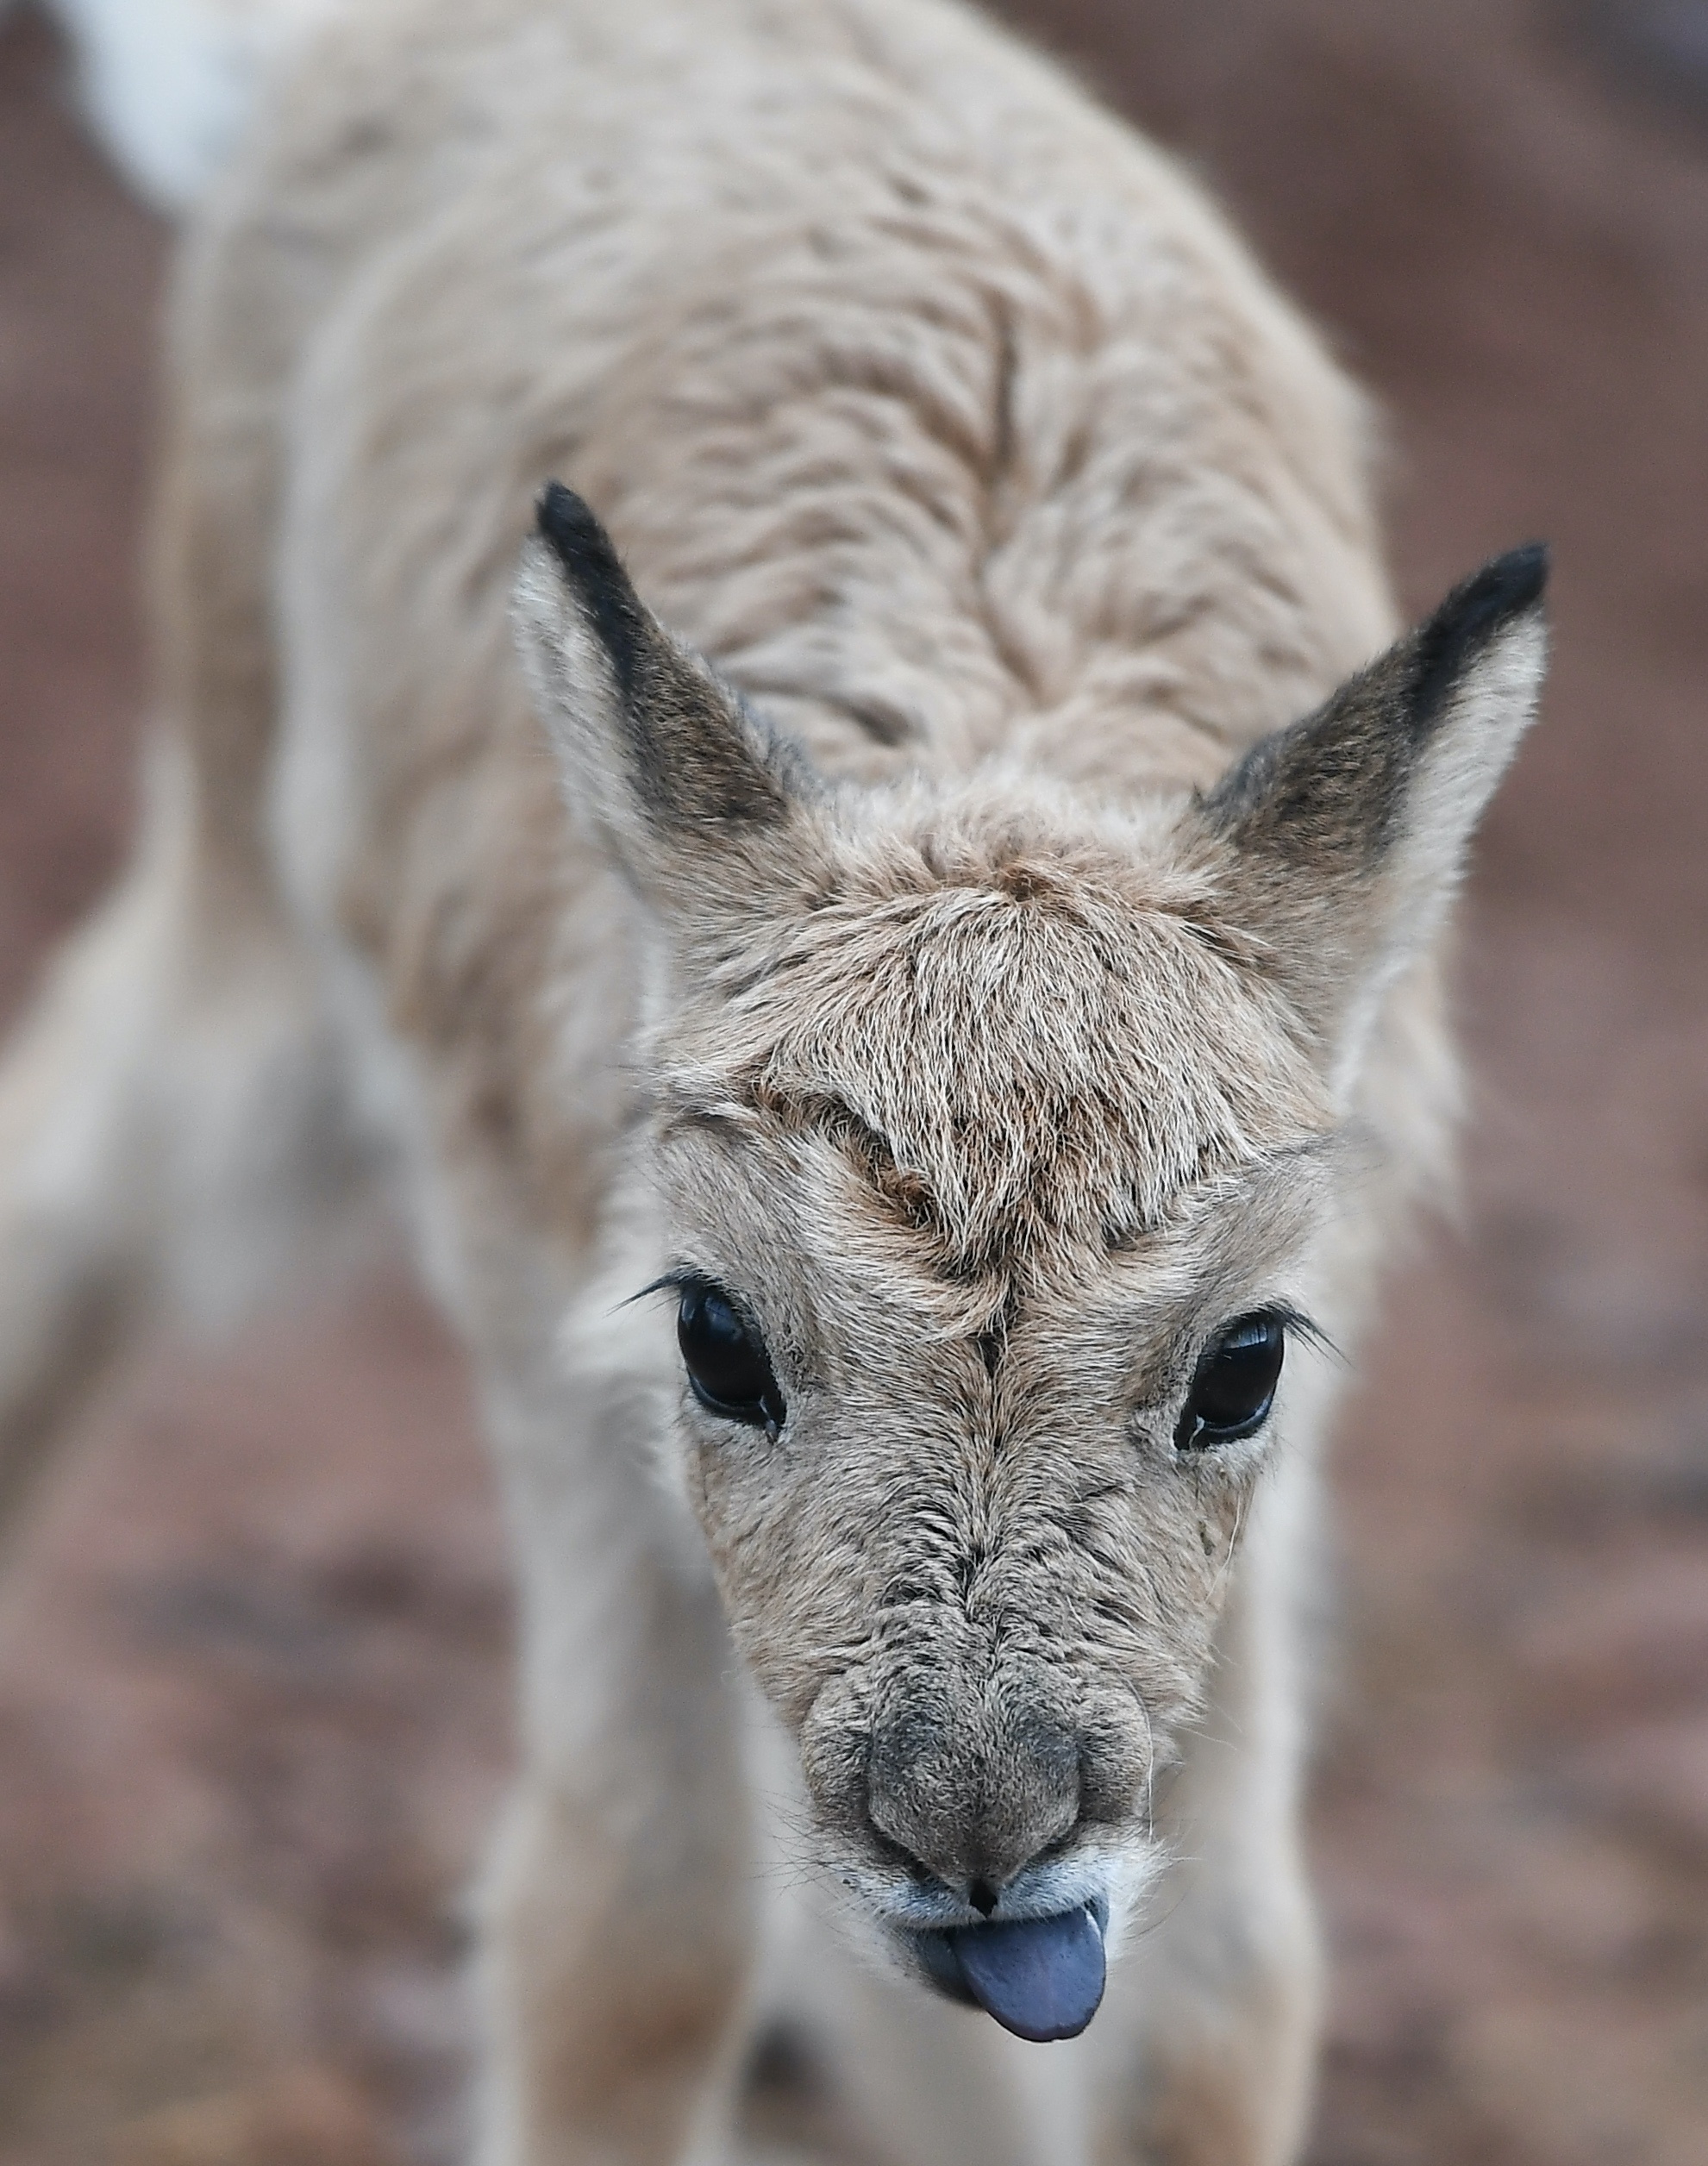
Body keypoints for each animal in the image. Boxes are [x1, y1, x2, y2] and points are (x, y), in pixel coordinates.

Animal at [3, 3, 1549, 2166]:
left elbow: (1222, 2002)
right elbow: (627, 1943)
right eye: (719, 1337)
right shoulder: (570, 1359)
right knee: (78, 1174)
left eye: (1240, 1363)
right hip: (251, 930)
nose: (978, 1836)